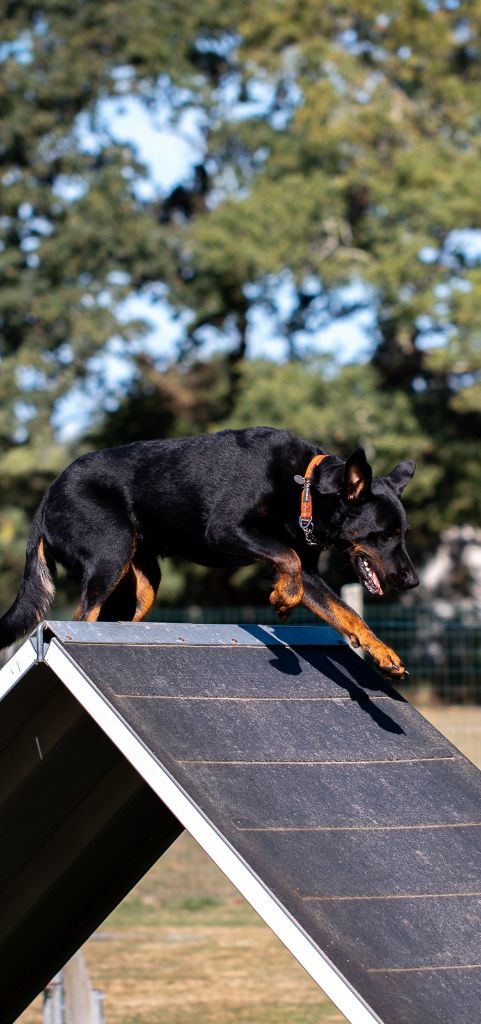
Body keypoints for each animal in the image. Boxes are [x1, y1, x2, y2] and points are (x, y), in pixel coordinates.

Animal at [0, 423, 417, 671]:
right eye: (383, 536)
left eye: (403, 533)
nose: (412, 581)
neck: (305, 486)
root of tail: (47, 498)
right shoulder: (225, 529)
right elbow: (288, 558)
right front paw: (282, 600)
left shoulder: (313, 577)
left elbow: (348, 613)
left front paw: (382, 651)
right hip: (110, 555)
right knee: (81, 616)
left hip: (140, 586)